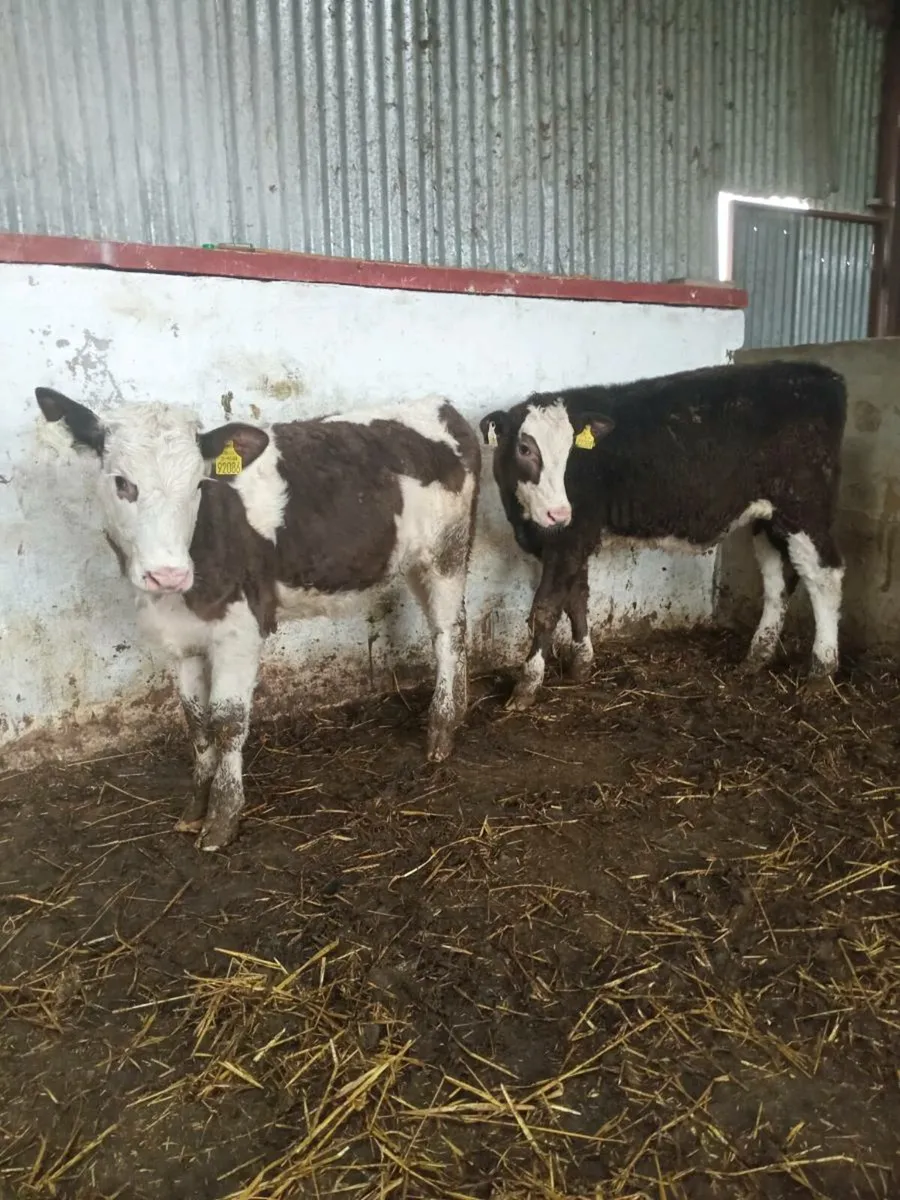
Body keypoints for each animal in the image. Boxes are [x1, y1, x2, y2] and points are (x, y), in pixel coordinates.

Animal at [35, 387, 480, 851]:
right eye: (122, 483)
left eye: (197, 484)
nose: (168, 573)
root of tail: (440, 405)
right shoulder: (182, 642)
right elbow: (195, 722)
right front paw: (195, 806)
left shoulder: (239, 631)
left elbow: (227, 721)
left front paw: (222, 818)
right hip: (416, 562)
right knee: (449, 628)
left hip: (446, 552)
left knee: (448, 635)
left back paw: (441, 731)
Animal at [478, 360, 847, 710]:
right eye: (524, 448)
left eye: (572, 451)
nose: (558, 512)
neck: (524, 518)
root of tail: (823, 376)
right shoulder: (576, 537)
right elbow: (577, 598)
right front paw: (581, 664)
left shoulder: (569, 537)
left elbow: (547, 608)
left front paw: (527, 686)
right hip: (769, 520)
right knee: (777, 583)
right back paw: (756, 657)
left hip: (804, 506)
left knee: (824, 577)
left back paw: (821, 672)